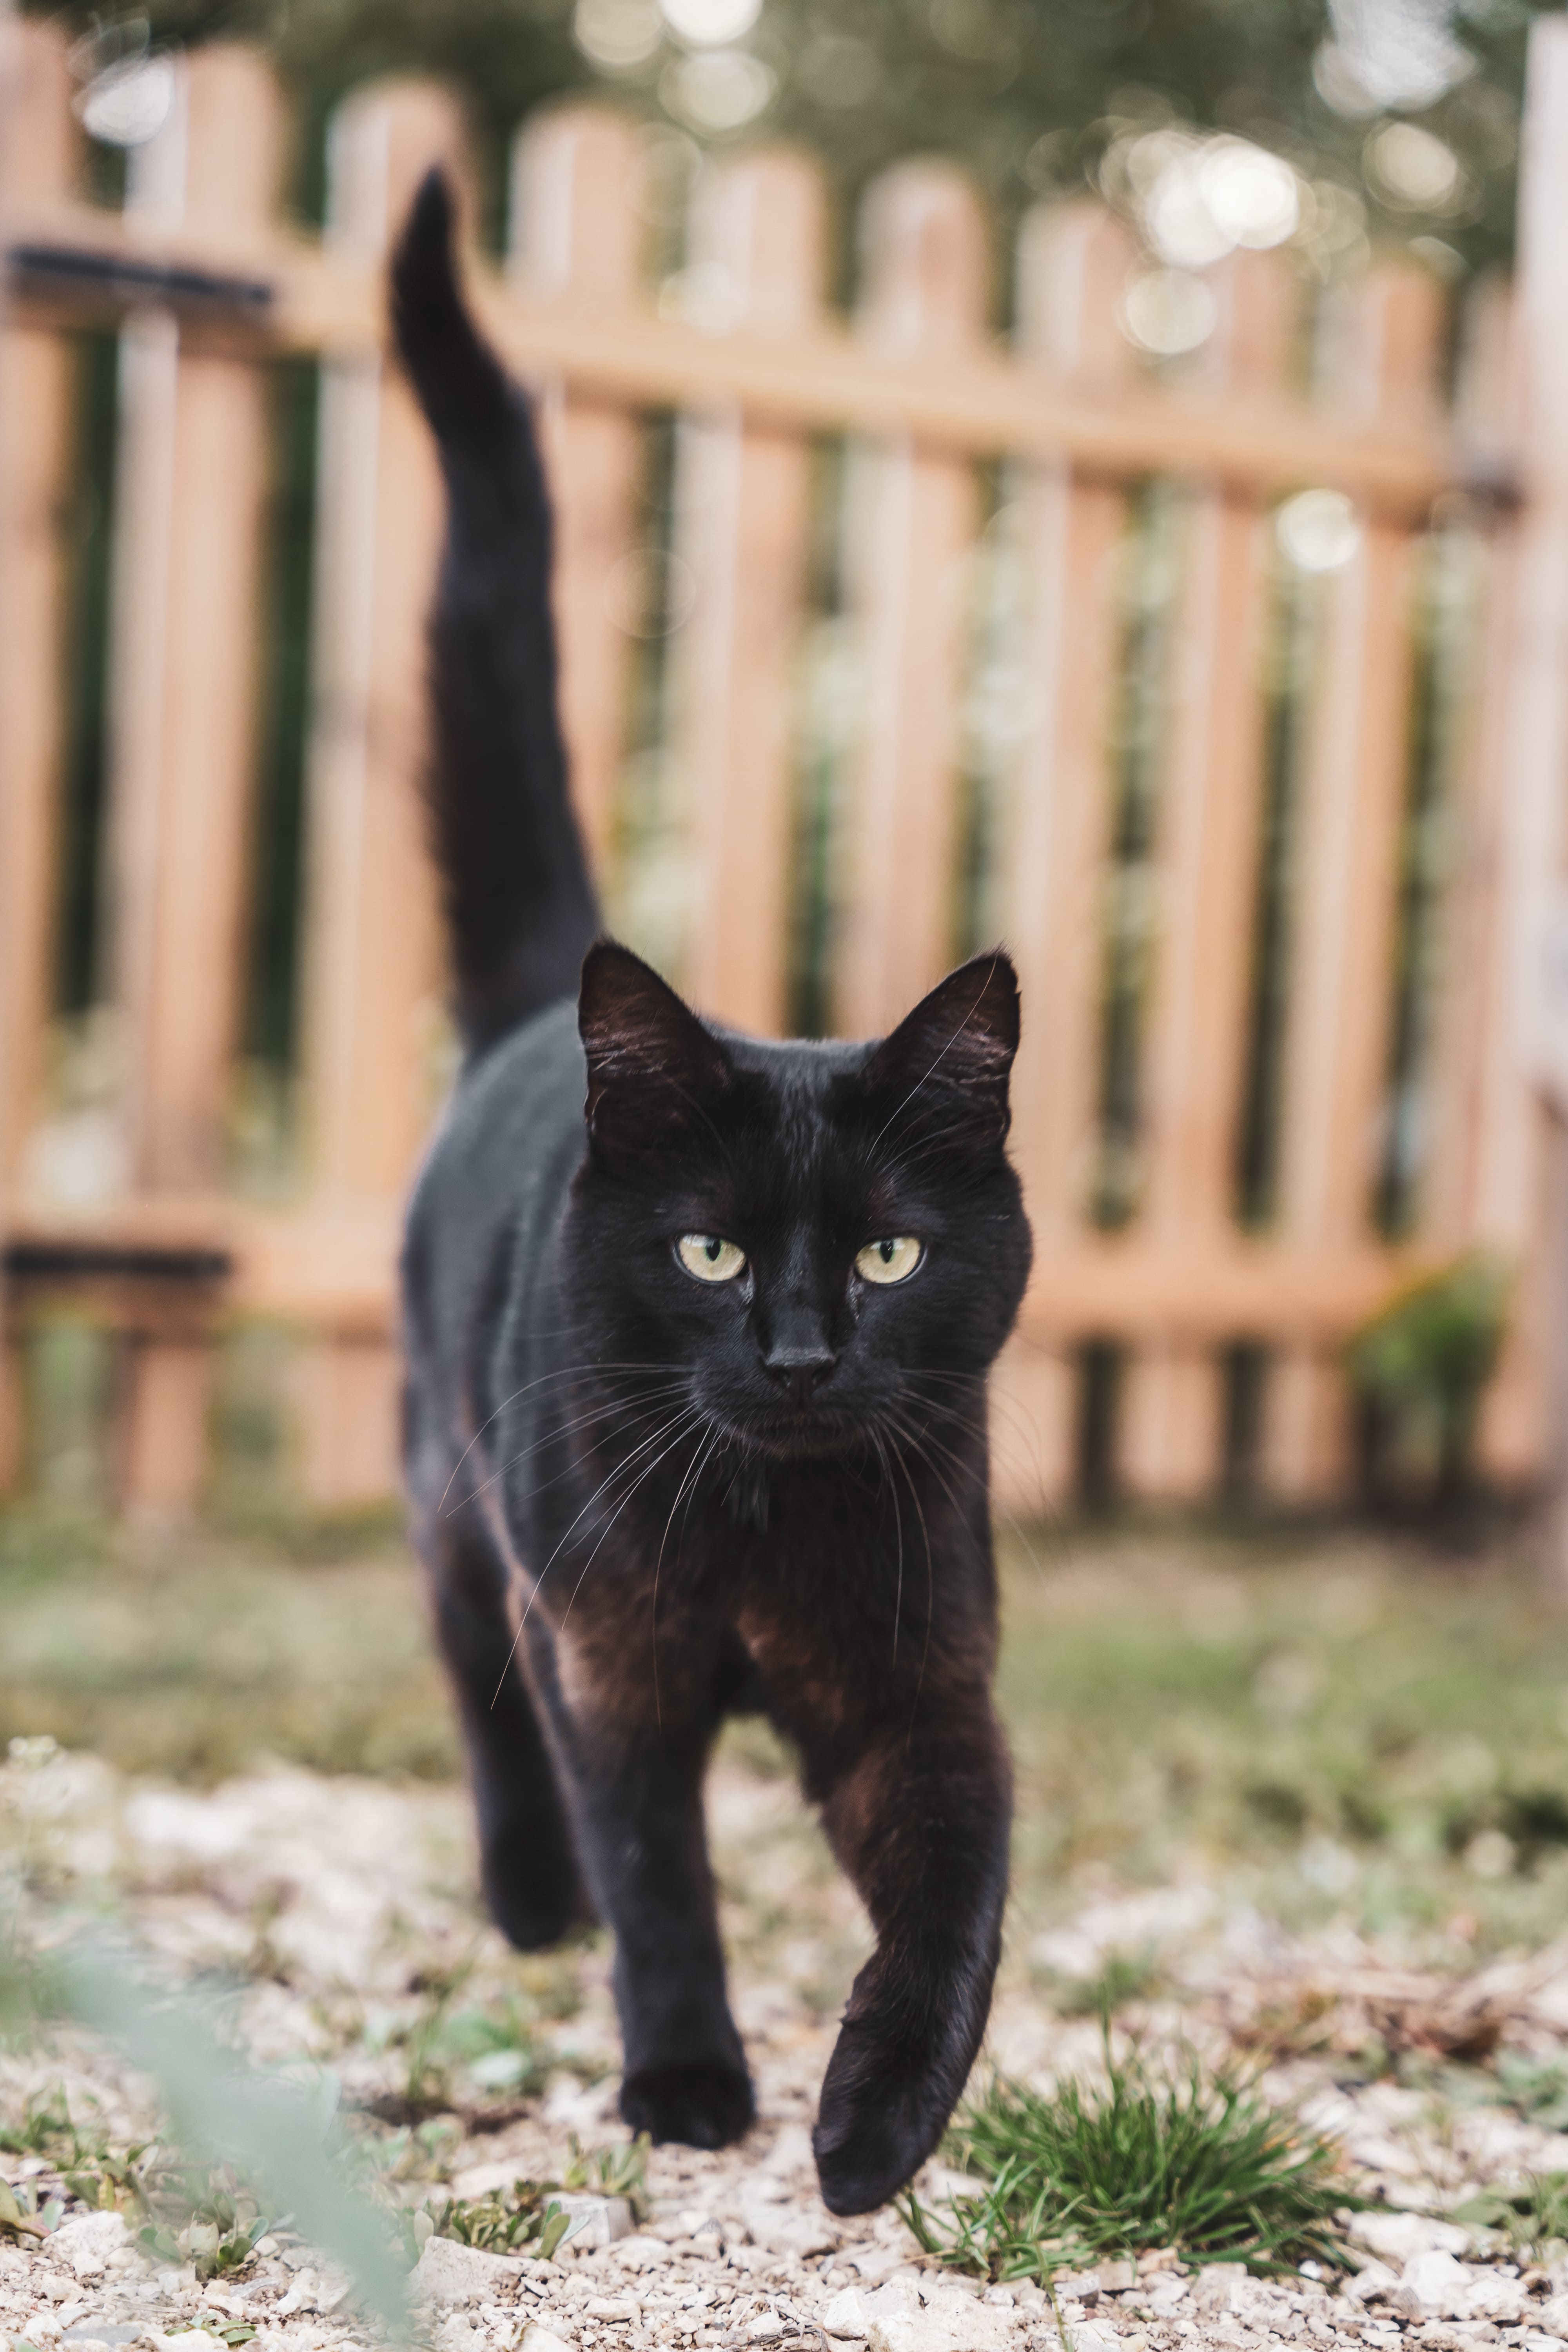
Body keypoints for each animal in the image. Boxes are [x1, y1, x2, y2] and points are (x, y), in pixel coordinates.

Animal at [390, 174, 1029, 2211]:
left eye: (891, 1252)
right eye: (711, 1247)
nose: (806, 1351)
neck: (761, 1522)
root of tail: (539, 1012)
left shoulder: (919, 1683)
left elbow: (959, 1891)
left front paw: (878, 2124)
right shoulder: (610, 1663)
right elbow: (657, 1873)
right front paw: (685, 2078)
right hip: (462, 1510)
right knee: (475, 1684)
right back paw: (531, 1900)